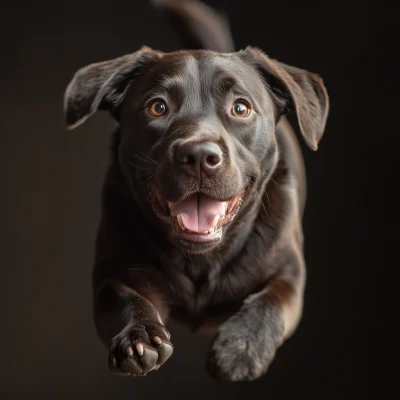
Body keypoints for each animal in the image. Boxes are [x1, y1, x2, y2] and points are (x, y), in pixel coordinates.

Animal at [63, 0, 328, 382]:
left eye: (240, 107)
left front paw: (242, 347)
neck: (201, 259)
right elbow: (124, 297)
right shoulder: (113, 271)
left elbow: (273, 301)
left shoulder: (289, 272)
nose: (200, 156)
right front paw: (139, 337)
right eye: (157, 106)